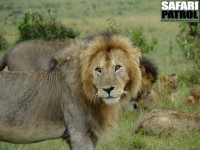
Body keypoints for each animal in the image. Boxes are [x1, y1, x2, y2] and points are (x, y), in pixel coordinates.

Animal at [0, 32, 141, 149]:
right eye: (98, 69)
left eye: (117, 67)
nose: (108, 89)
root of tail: (8, 52)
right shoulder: (78, 134)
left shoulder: (90, 136)